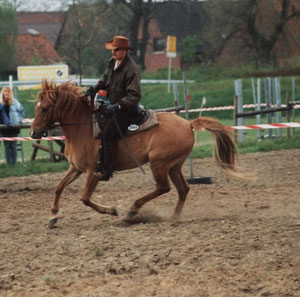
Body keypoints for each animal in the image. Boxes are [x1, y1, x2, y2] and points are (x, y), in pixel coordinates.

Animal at [29, 78, 251, 227]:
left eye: (46, 108)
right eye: (37, 107)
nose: (33, 133)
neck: (84, 128)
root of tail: (188, 124)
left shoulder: (93, 171)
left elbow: (84, 198)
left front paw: (112, 210)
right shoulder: (76, 168)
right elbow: (59, 187)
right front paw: (53, 216)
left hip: (158, 163)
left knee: (164, 188)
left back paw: (133, 210)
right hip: (174, 165)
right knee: (183, 189)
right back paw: (174, 217)